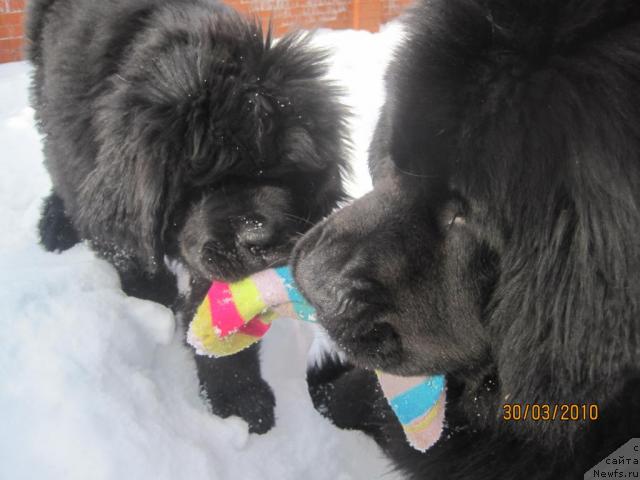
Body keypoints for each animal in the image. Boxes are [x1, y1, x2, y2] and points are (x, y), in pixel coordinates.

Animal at [27, 0, 348, 436]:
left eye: (287, 174)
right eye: (204, 180)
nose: (260, 238)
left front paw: (237, 394)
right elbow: (129, 252)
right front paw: (153, 301)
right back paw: (55, 226)